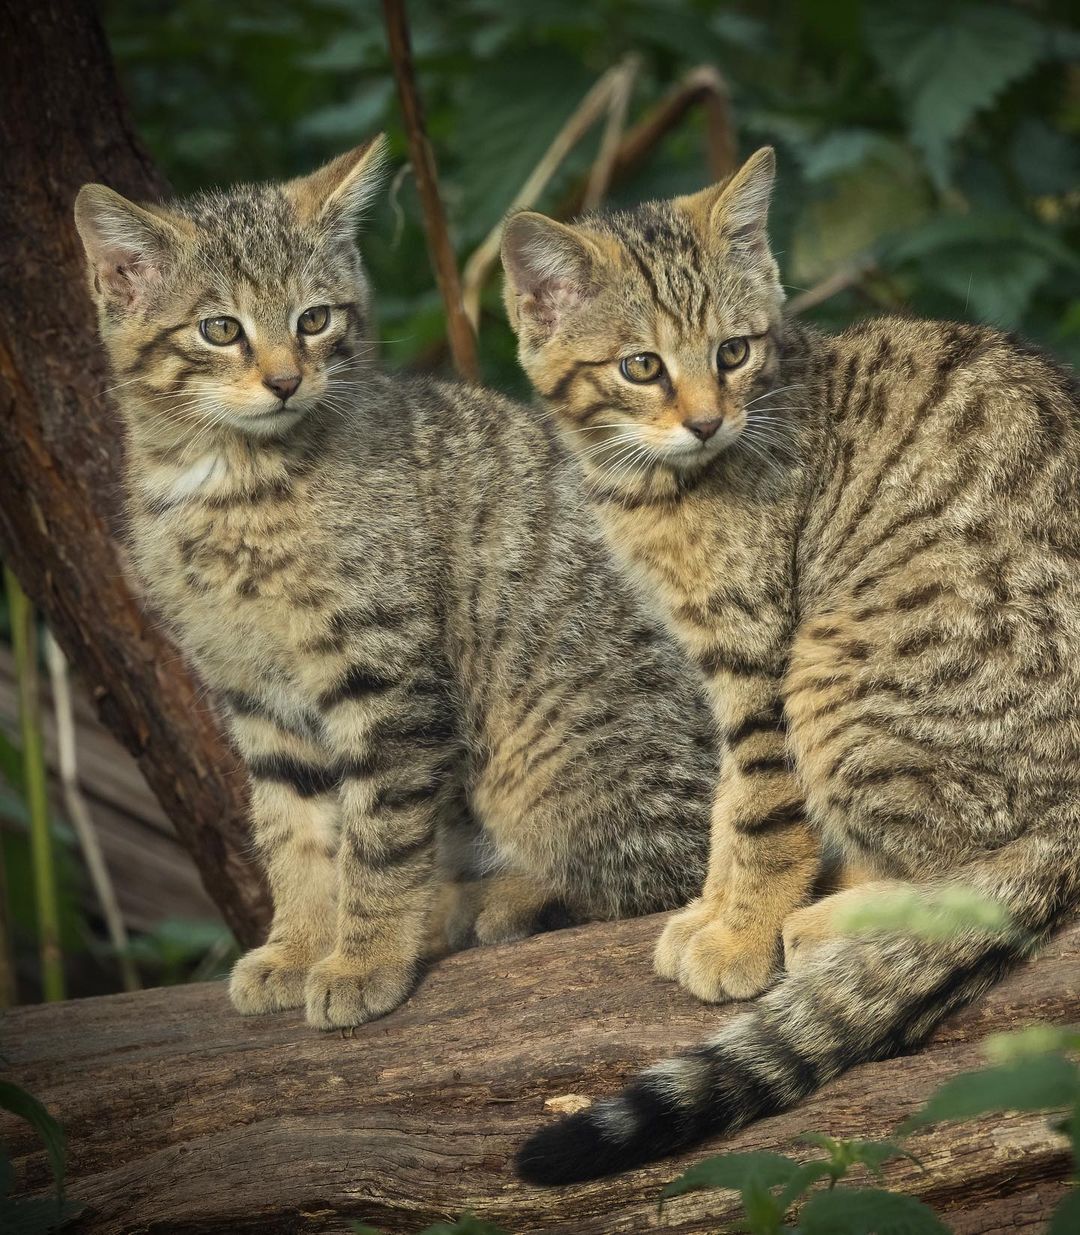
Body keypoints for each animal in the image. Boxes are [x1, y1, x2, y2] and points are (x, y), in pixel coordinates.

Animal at [73, 135, 716, 1027]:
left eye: (314, 319)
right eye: (220, 328)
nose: (285, 380)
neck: (231, 485)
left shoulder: (387, 677)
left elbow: (377, 837)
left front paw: (361, 958)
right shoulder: (257, 696)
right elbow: (295, 832)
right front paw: (300, 943)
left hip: (542, 761)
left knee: (667, 871)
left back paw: (495, 899)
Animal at [504, 149, 1077, 1180]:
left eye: (733, 352)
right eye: (641, 366)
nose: (704, 421)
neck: (658, 488)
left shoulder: (760, 651)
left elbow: (762, 808)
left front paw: (738, 929)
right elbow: (729, 802)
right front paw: (714, 906)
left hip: (837, 662)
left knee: (972, 869)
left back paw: (829, 920)